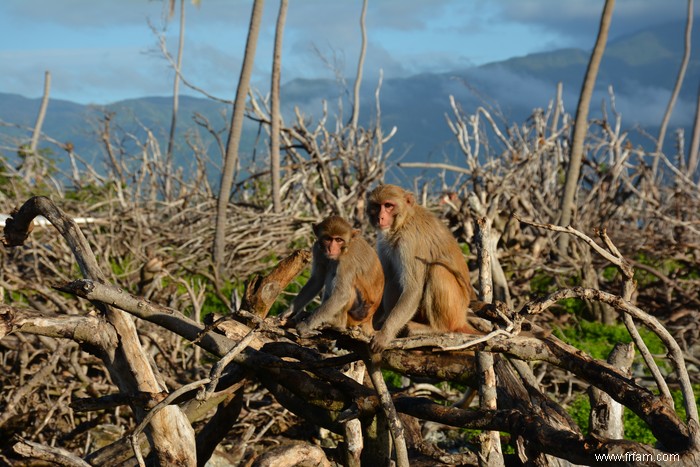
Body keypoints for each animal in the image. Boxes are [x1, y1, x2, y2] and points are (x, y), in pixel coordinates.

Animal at [364, 183, 478, 352]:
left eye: (389, 205)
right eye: (377, 206)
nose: (380, 217)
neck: (403, 222)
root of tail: (462, 317)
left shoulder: (410, 242)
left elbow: (413, 289)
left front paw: (384, 335)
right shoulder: (383, 243)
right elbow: (387, 279)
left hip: (454, 311)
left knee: (437, 270)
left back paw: (436, 329)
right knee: (394, 279)